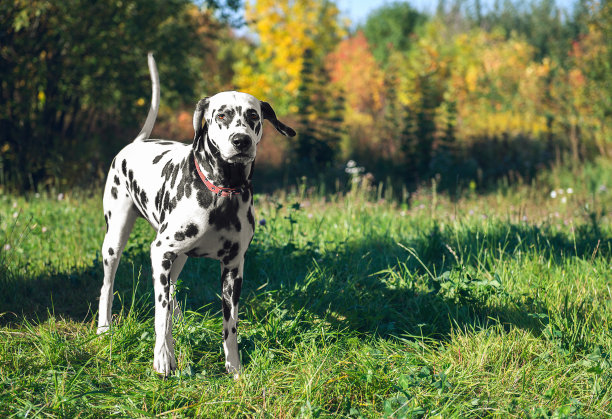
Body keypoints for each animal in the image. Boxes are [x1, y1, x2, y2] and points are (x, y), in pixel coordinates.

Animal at [96, 53, 296, 378]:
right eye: (222, 115)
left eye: (253, 116)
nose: (241, 141)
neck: (222, 191)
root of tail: (136, 143)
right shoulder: (160, 251)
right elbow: (160, 314)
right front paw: (163, 358)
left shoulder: (233, 269)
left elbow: (230, 325)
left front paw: (234, 367)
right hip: (117, 241)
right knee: (110, 285)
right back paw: (105, 328)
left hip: (177, 258)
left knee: (172, 291)